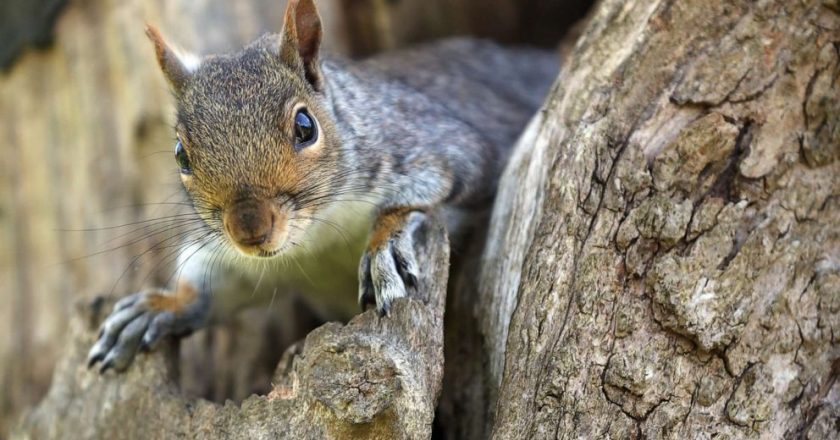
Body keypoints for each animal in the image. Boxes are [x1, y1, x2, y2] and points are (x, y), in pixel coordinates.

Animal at [87, 0, 556, 372]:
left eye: (305, 126)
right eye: (181, 155)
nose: (250, 230)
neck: (315, 238)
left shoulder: (442, 149)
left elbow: (424, 194)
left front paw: (384, 244)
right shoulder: (237, 257)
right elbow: (214, 286)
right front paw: (159, 307)